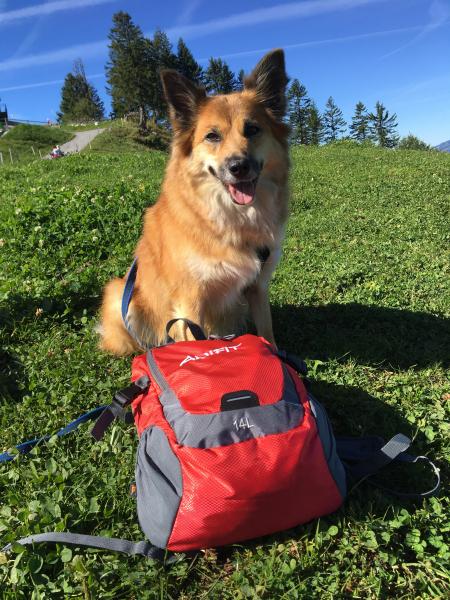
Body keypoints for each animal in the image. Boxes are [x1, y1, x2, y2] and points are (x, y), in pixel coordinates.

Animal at [99, 49, 290, 354]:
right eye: (212, 136)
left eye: (252, 129)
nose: (238, 167)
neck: (229, 218)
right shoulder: (190, 300)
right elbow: (194, 341)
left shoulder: (257, 286)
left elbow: (267, 331)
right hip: (119, 295)